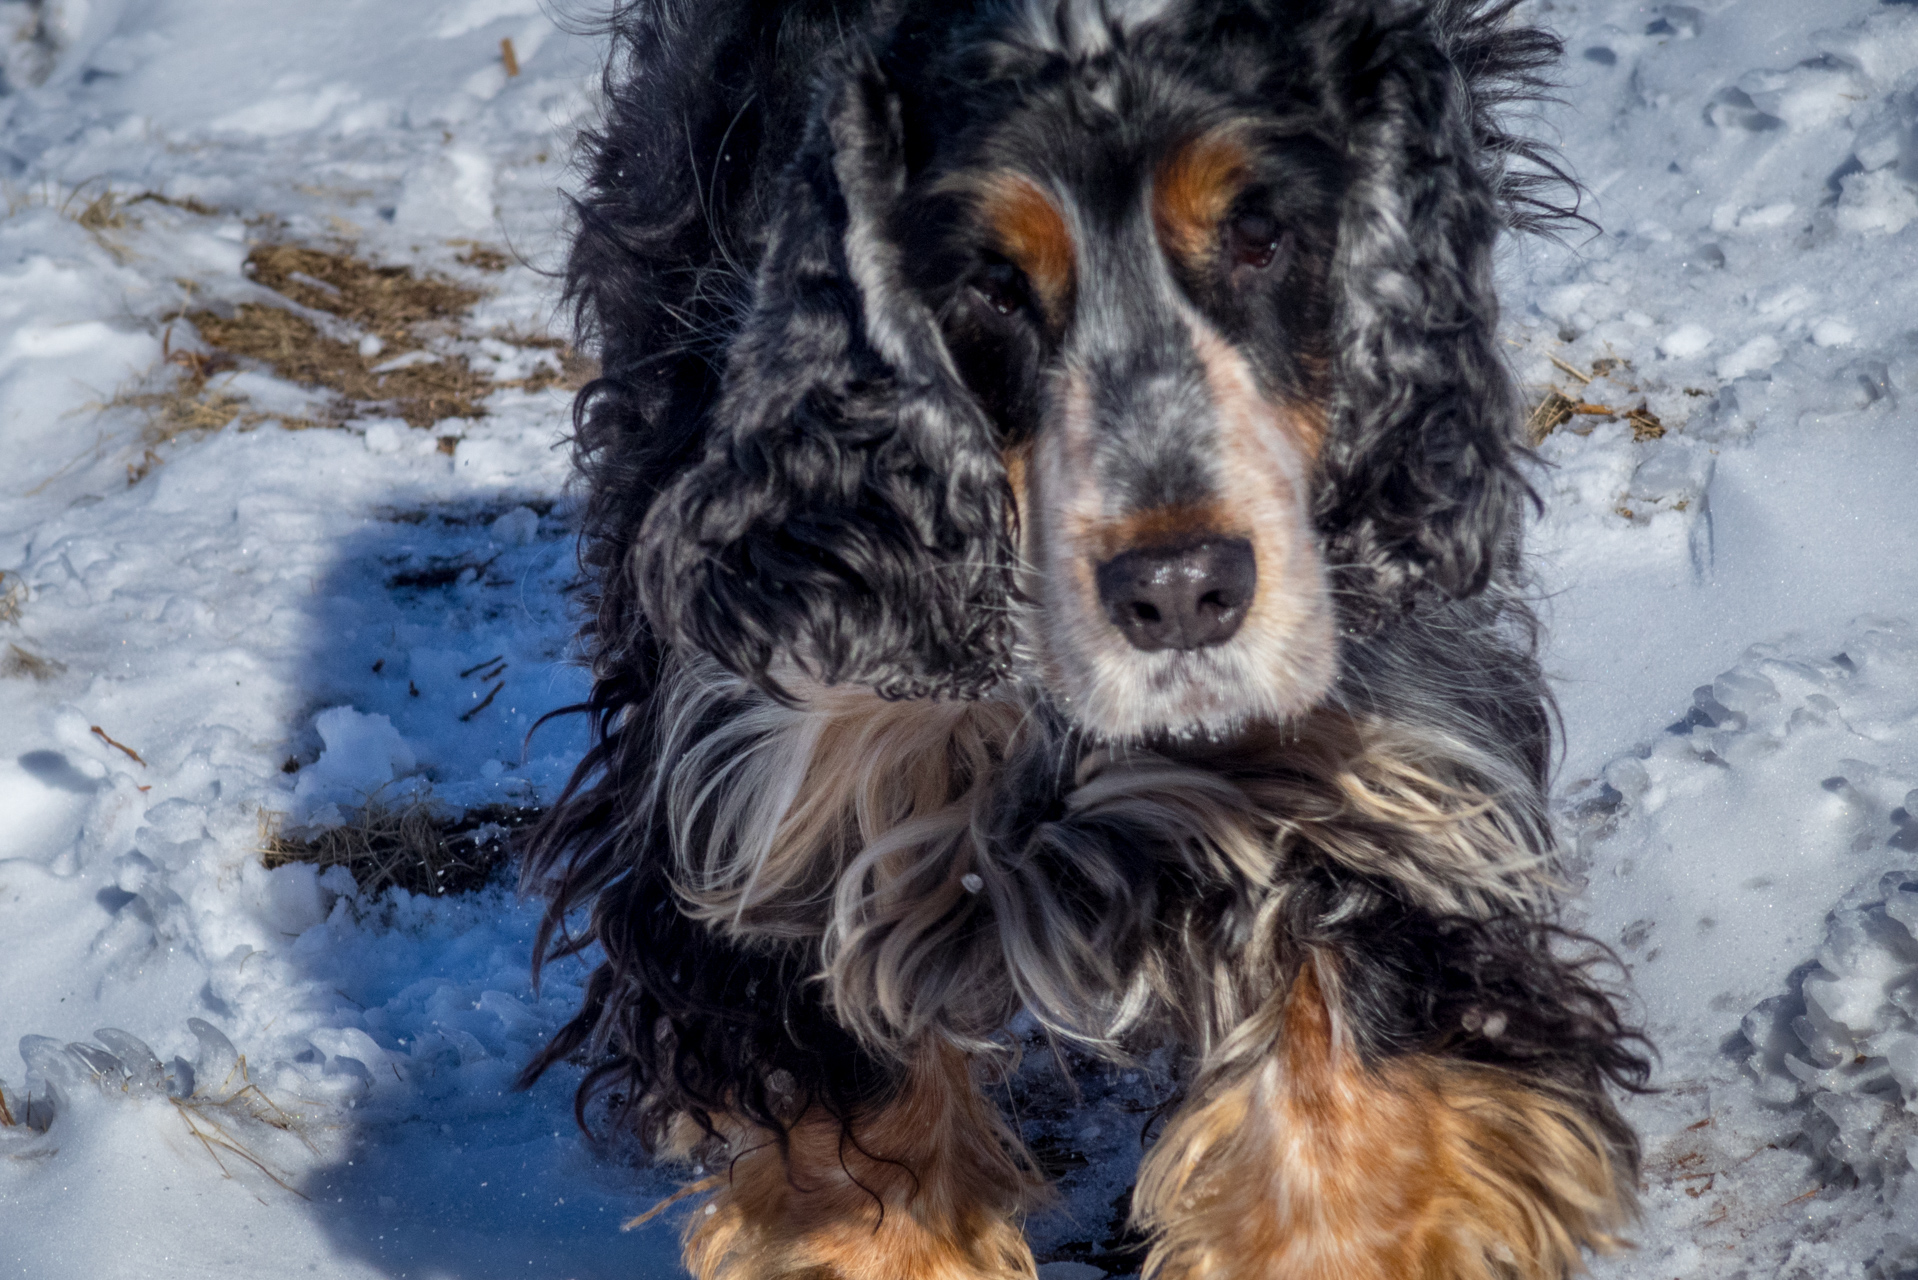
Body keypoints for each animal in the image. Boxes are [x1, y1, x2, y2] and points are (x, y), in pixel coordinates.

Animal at [521, 2, 1649, 1280]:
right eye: (992, 284)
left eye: (1258, 234)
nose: (1182, 592)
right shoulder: (773, 808)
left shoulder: (1376, 772)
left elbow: (1355, 1103)